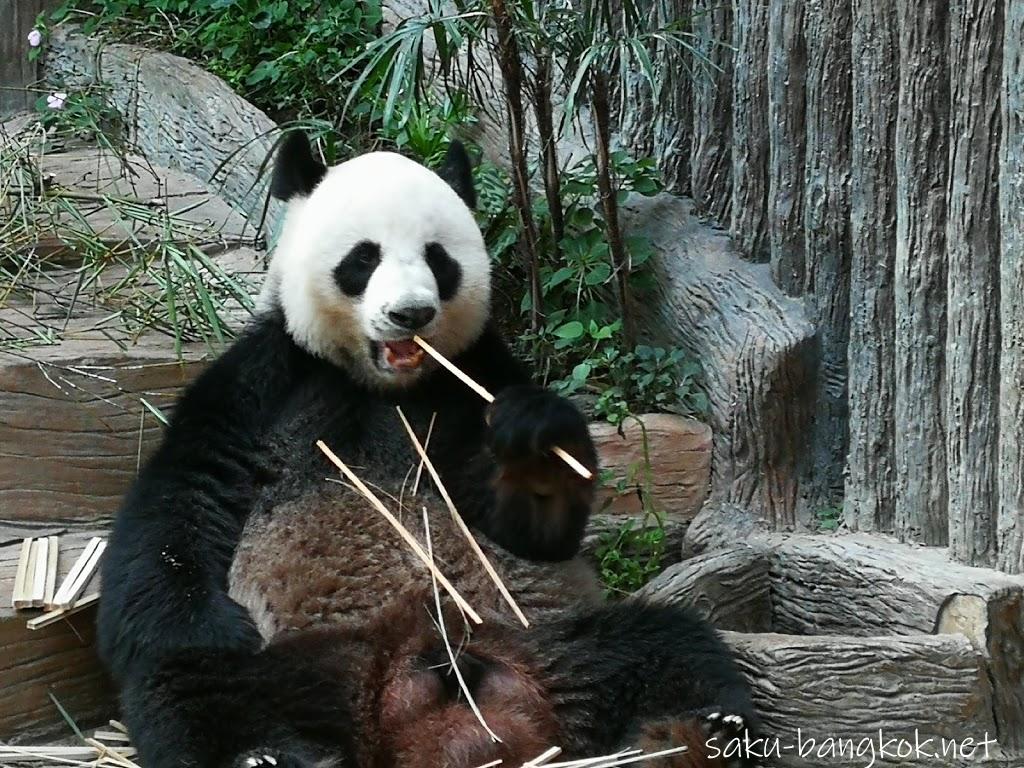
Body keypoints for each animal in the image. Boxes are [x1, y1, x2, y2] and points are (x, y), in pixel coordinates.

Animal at [97, 131, 761, 768]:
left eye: (438, 260)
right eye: (363, 258)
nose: (410, 313)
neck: (383, 385)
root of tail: (416, 699)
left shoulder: (472, 380)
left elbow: (532, 531)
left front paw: (537, 444)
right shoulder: (265, 377)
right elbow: (186, 498)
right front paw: (210, 616)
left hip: (546, 641)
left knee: (667, 646)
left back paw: (702, 732)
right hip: (306, 662)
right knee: (196, 689)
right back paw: (264, 754)